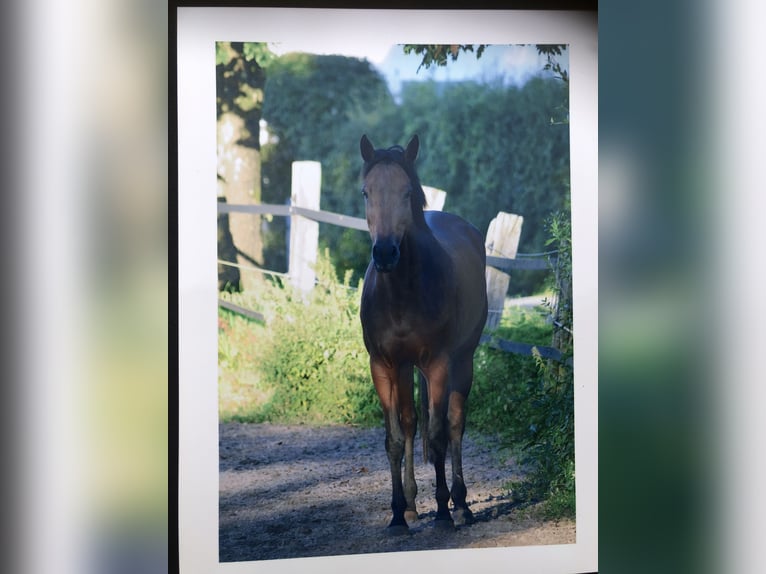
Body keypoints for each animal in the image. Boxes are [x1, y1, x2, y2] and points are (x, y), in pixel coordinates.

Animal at [358, 135, 488, 536]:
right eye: (366, 192)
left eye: (406, 192)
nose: (385, 252)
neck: (402, 295)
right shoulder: (384, 366)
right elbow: (396, 439)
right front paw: (399, 515)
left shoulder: (438, 366)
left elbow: (439, 436)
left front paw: (444, 512)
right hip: (406, 370)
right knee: (412, 423)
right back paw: (415, 507)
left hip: (463, 362)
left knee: (455, 425)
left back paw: (460, 506)